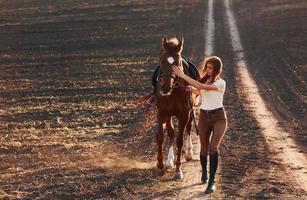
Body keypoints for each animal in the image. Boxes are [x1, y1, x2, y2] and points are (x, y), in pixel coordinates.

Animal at [155, 35, 199, 178]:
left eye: (177, 62)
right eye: (162, 60)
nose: (165, 87)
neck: (173, 91)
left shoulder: (184, 114)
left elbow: (180, 141)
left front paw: (178, 169)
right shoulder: (162, 112)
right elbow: (161, 137)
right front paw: (161, 164)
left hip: (190, 112)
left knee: (189, 128)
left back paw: (189, 153)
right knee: (171, 133)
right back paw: (169, 161)